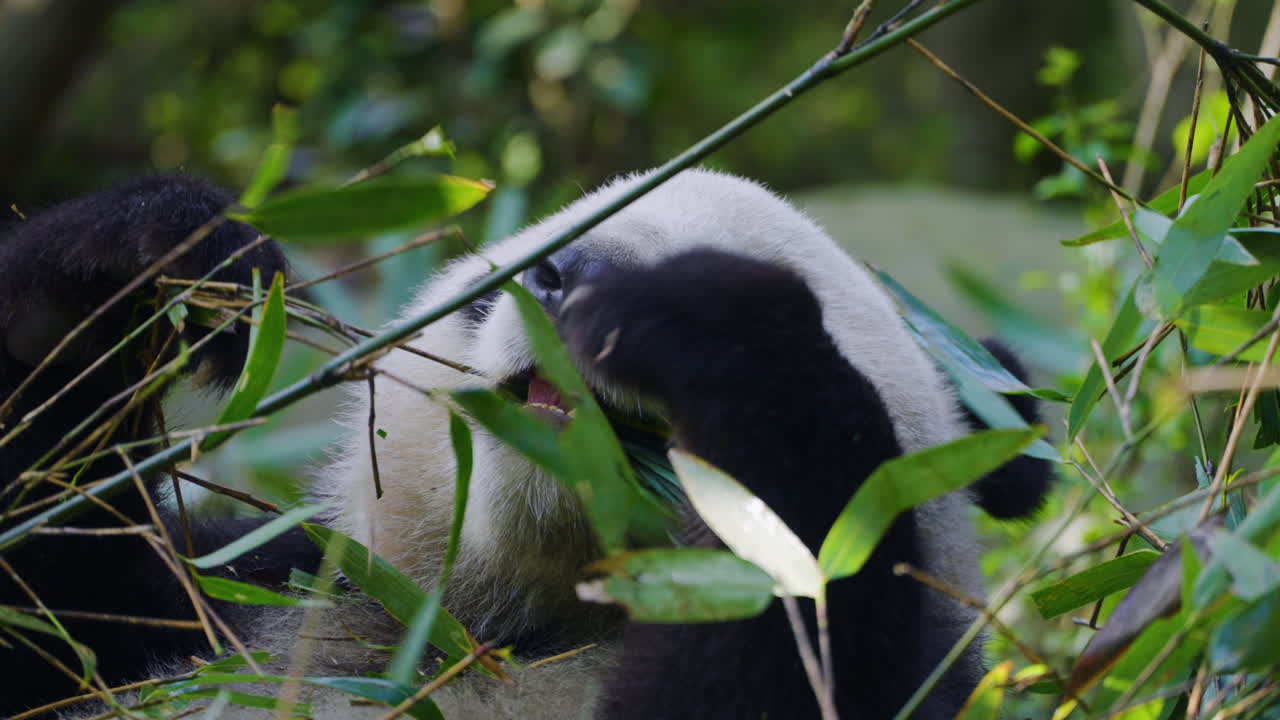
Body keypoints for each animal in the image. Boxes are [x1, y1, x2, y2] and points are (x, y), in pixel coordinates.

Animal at [0, 169, 1050, 719]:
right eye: (487, 293)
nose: (573, 275)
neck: (528, 631)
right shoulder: (270, 602)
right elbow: (56, 592)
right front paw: (163, 260)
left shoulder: (924, 672)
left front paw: (705, 324)